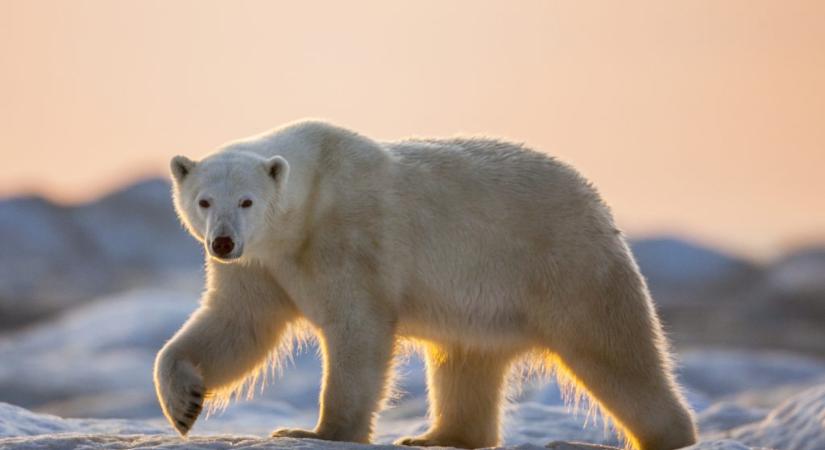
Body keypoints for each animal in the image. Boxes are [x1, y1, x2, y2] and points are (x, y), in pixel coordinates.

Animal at [153, 120, 696, 450]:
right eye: (204, 200)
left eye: (246, 200)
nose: (223, 242)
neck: (305, 205)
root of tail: (594, 198)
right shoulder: (261, 265)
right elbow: (237, 326)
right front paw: (184, 405)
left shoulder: (347, 236)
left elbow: (357, 329)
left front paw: (317, 430)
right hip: (483, 303)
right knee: (465, 361)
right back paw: (437, 435)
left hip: (562, 265)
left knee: (613, 350)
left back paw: (668, 432)